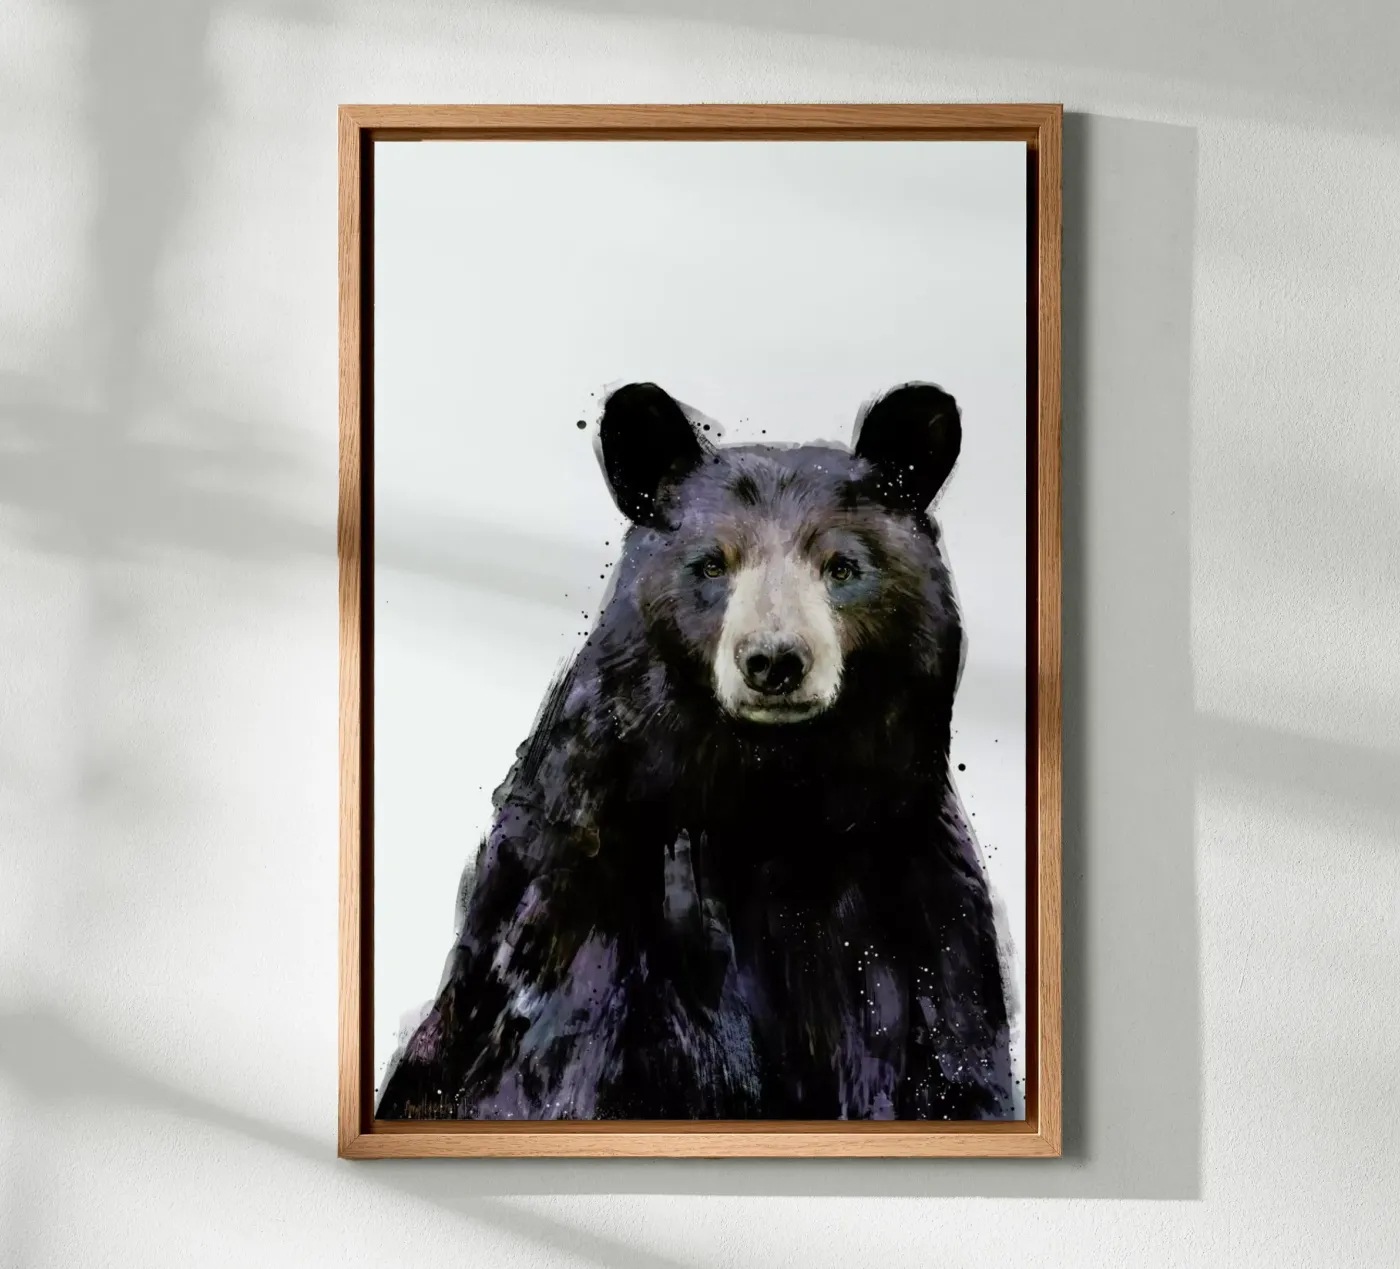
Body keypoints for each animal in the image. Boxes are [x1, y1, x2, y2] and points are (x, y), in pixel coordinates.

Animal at [375, 381, 1015, 1121]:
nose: (774, 660)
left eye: (843, 566)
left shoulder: (917, 902)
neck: (772, 799)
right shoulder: (591, 903)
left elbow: (953, 1058)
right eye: (712, 563)